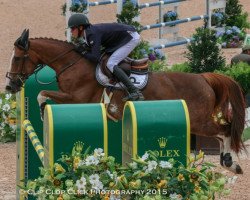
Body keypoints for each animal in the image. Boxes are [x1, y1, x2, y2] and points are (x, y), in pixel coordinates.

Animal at [5, 29, 246, 173]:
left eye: (17, 58)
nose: (10, 86)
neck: (71, 64)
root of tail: (203, 77)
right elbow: (42, 94)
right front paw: (42, 108)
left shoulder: (76, 98)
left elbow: (42, 94)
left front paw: (42, 108)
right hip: (198, 122)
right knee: (222, 133)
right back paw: (229, 162)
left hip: (198, 121)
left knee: (225, 129)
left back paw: (230, 163)